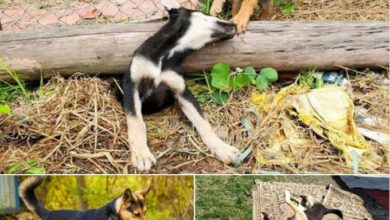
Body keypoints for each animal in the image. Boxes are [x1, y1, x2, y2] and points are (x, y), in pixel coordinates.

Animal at [122, 0, 239, 171]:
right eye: (208, 14)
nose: (235, 24)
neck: (168, 53)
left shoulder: (181, 91)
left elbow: (203, 122)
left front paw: (223, 148)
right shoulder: (132, 84)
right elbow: (137, 122)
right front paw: (142, 155)